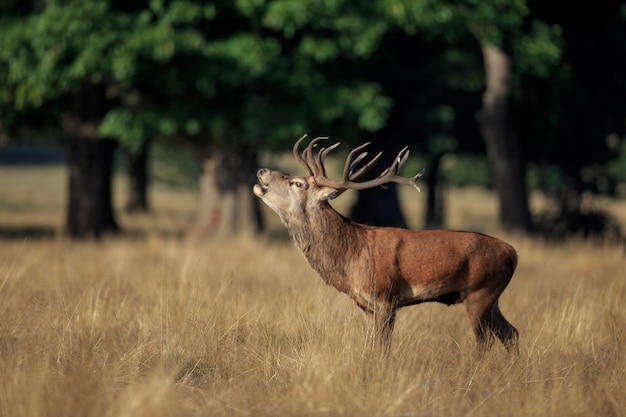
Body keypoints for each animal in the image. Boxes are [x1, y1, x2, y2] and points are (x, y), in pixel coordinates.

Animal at [251, 134, 520, 354]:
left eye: (297, 183)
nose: (261, 170)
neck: (350, 255)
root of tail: (513, 253)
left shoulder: (385, 297)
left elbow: (382, 348)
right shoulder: (365, 306)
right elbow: (370, 347)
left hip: (480, 291)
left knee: (484, 342)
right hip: (491, 298)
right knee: (511, 334)